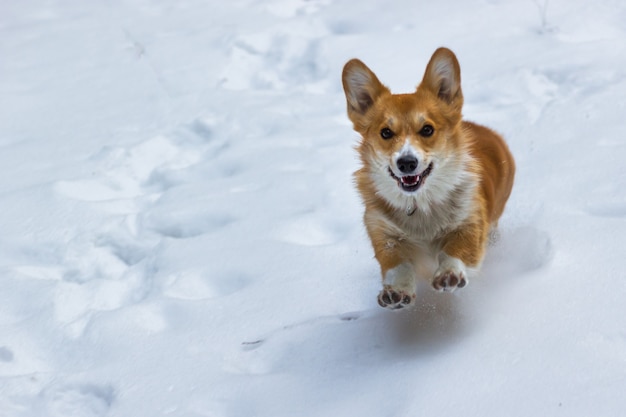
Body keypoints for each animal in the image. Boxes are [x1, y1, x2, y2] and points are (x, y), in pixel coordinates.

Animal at [342, 48, 512, 308]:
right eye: (386, 133)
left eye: (427, 129)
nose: (406, 163)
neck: (419, 203)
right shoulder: (382, 231)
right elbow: (397, 263)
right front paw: (396, 291)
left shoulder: (470, 222)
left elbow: (456, 250)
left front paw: (449, 273)